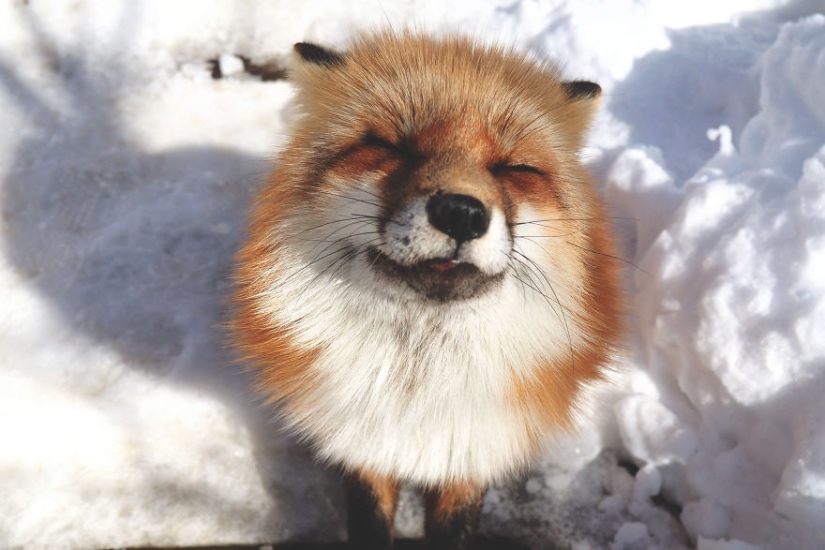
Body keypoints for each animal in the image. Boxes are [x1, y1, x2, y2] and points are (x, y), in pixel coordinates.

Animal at [230, 31, 623, 550]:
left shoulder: (471, 456)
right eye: (389, 146)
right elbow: (370, 524)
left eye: (515, 168)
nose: (461, 212)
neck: (418, 389)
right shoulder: (363, 447)